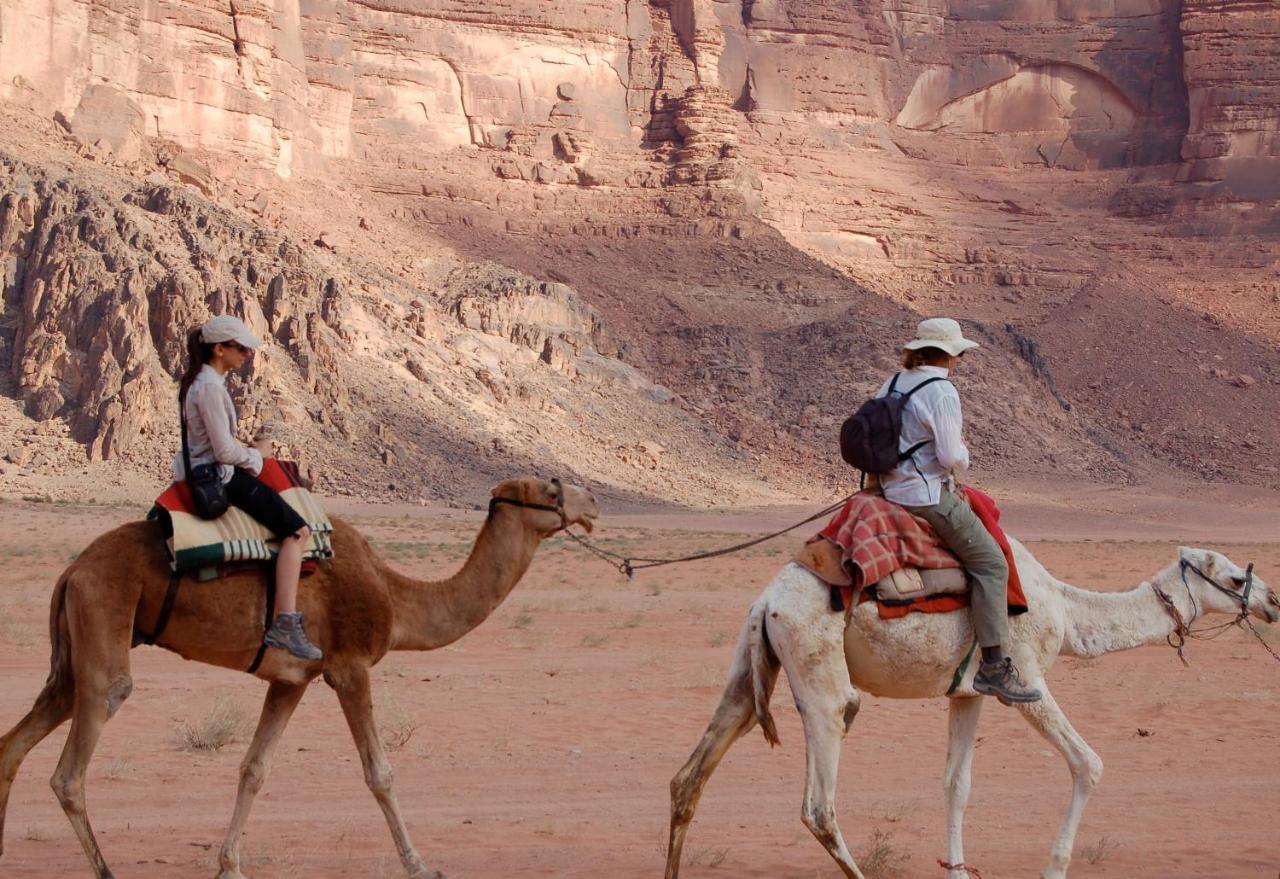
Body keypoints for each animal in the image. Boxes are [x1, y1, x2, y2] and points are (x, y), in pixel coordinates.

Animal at [0, 478, 599, 875]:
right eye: (551, 488)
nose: (593, 504)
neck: (395, 596)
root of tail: (72, 569)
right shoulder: (349, 668)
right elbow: (380, 773)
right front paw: (420, 863)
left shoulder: (291, 681)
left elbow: (254, 768)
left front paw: (230, 864)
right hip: (104, 618)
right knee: (74, 763)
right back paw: (105, 869)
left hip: (76, 651)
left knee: (18, 741)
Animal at [665, 542, 1274, 879]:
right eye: (1236, 577)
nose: (1271, 601)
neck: (1068, 611)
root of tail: (766, 601)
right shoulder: (1024, 676)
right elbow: (1088, 764)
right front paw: (1053, 869)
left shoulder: (969, 692)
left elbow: (956, 786)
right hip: (818, 672)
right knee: (819, 804)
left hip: (750, 670)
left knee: (690, 775)